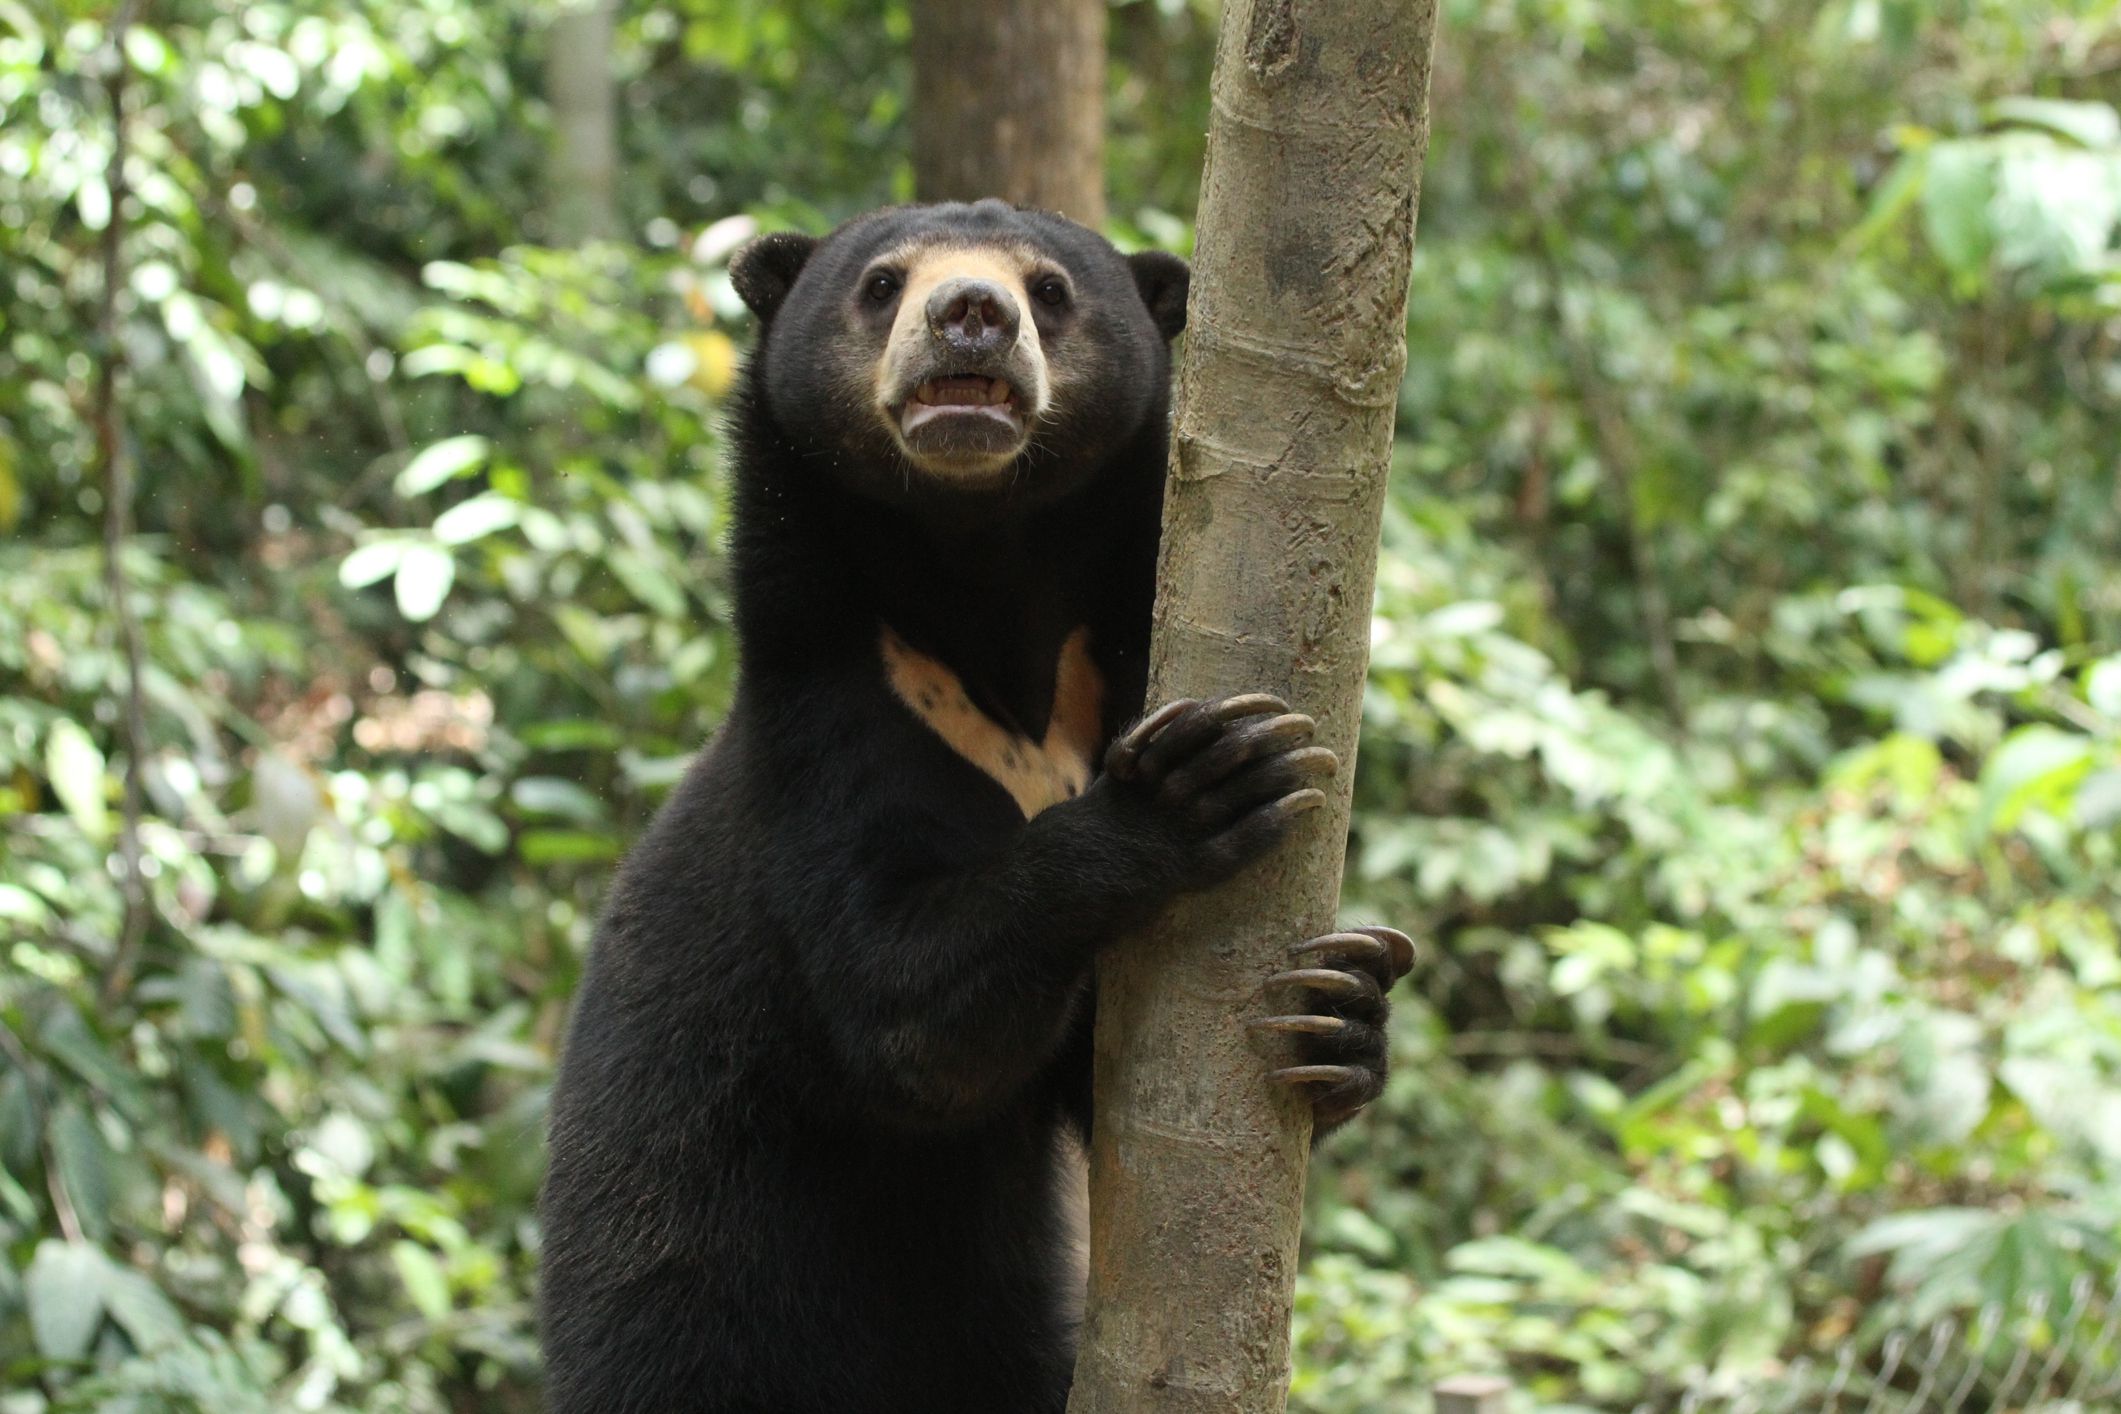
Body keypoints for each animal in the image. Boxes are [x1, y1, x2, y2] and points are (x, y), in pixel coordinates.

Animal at [538, 199, 1416, 1414]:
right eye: (882, 282)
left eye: (1048, 288)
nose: (970, 315)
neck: (985, 591)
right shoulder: (836, 730)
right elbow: (907, 1009)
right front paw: (1203, 778)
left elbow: (1096, 1074)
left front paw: (1341, 1009)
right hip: (686, 1322)